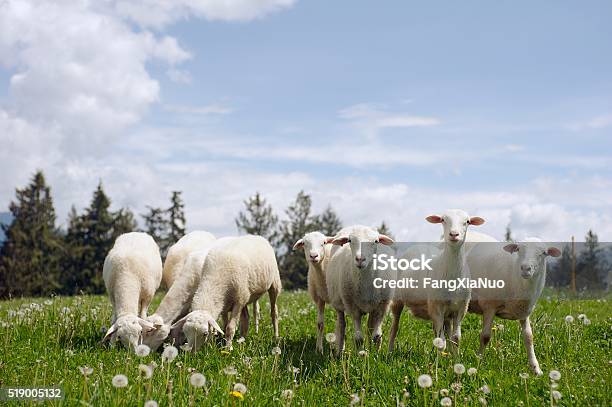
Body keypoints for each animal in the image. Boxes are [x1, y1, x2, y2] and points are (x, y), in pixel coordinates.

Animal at [326, 226, 396, 354]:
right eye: (349, 241)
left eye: (376, 241)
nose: (360, 259)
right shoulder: (353, 308)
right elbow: (358, 338)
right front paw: (360, 354)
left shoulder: (382, 306)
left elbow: (377, 336)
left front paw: (376, 355)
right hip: (338, 303)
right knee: (341, 325)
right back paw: (340, 352)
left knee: (369, 327)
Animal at [390, 209, 486, 352]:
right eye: (443, 220)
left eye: (467, 221)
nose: (454, 234)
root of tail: (418, 245)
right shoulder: (437, 307)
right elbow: (441, 341)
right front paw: (440, 357)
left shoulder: (461, 309)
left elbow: (456, 338)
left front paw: (455, 356)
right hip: (397, 299)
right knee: (394, 327)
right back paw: (389, 351)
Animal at [468, 239, 560, 376]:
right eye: (518, 250)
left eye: (544, 253)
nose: (526, 268)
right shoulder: (489, 306)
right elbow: (485, 336)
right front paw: (478, 362)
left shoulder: (524, 311)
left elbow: (529, 337)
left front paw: (536, 369)